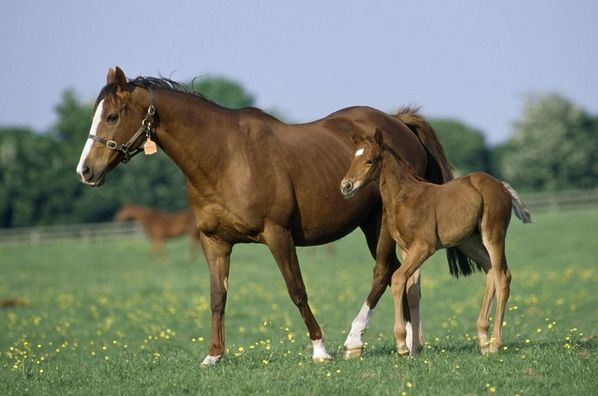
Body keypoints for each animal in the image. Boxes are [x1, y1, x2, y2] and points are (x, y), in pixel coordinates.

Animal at [76, 65, 468, 366]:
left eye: (112, 116)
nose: (85, 171)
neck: (225, 157)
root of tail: (397, 122)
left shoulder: (278, 235)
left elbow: (297, 290)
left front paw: (320, 350)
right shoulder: (213, 241)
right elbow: (217, 296)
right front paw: (213, 355)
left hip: (379, 224)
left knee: (384, 273)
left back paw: (355, 340)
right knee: (404, 275)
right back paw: (412, 343)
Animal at [342, 129, 536, 356]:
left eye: (370, 160)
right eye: (352, 159)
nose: (346, 186)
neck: (405, 198)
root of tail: (500, 184)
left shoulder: (424, 247)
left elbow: (398, 278)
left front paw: (402, 345)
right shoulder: (407, 249)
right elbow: (412, 291)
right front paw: (415, 349)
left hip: (493, 235)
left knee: (503, 276)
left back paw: (496, 343)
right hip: (469, 243)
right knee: (490, 272)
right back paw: (483, 341)